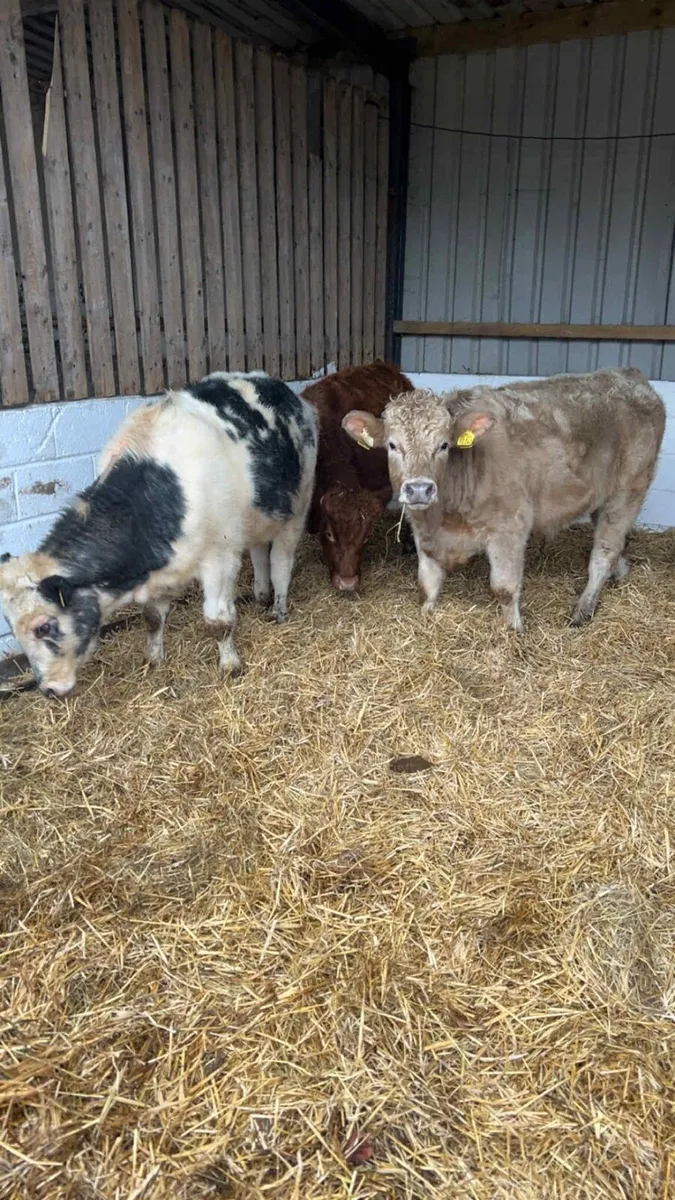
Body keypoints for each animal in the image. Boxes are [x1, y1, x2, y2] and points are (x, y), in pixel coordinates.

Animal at [0, 372, 317, 697]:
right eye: (10, 625)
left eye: (43, 627)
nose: (48, 689)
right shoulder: (161, 572)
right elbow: (152, 618)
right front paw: (153, 659)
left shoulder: (220, 557)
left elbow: (218, 622)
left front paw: (230, 665)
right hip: (256, 518)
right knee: (258, 552)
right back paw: (261, 594)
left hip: (297, 508)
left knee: (281, 562)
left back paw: (278, 608)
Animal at [342, 367, 665, 631]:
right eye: (392, 445)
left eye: (444, 445)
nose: (419, 489)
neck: (445, 517)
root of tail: (629, 376)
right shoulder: (424, 534)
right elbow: (428, 582)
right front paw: (426, 615)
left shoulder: (509, 527)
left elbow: (504, 588)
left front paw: (514, 631)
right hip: (603, 496)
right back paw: (620, 573)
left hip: (628, 491)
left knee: (604, 552)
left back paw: (583, 610)